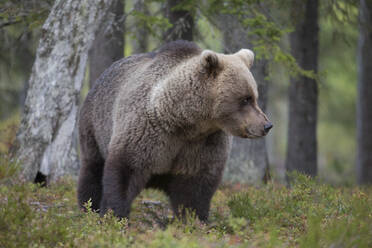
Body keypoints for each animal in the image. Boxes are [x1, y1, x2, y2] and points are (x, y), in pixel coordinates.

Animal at [77, 40, 270, 221]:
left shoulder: (204, 144)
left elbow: (194, 188)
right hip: (94, 126)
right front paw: (114, 215)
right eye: (245, 99)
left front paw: (195, 220)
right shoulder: (145, 133)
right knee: (93, 170)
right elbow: (125, 171)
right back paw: (88, 208)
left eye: (255, 97)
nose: (267, 125)